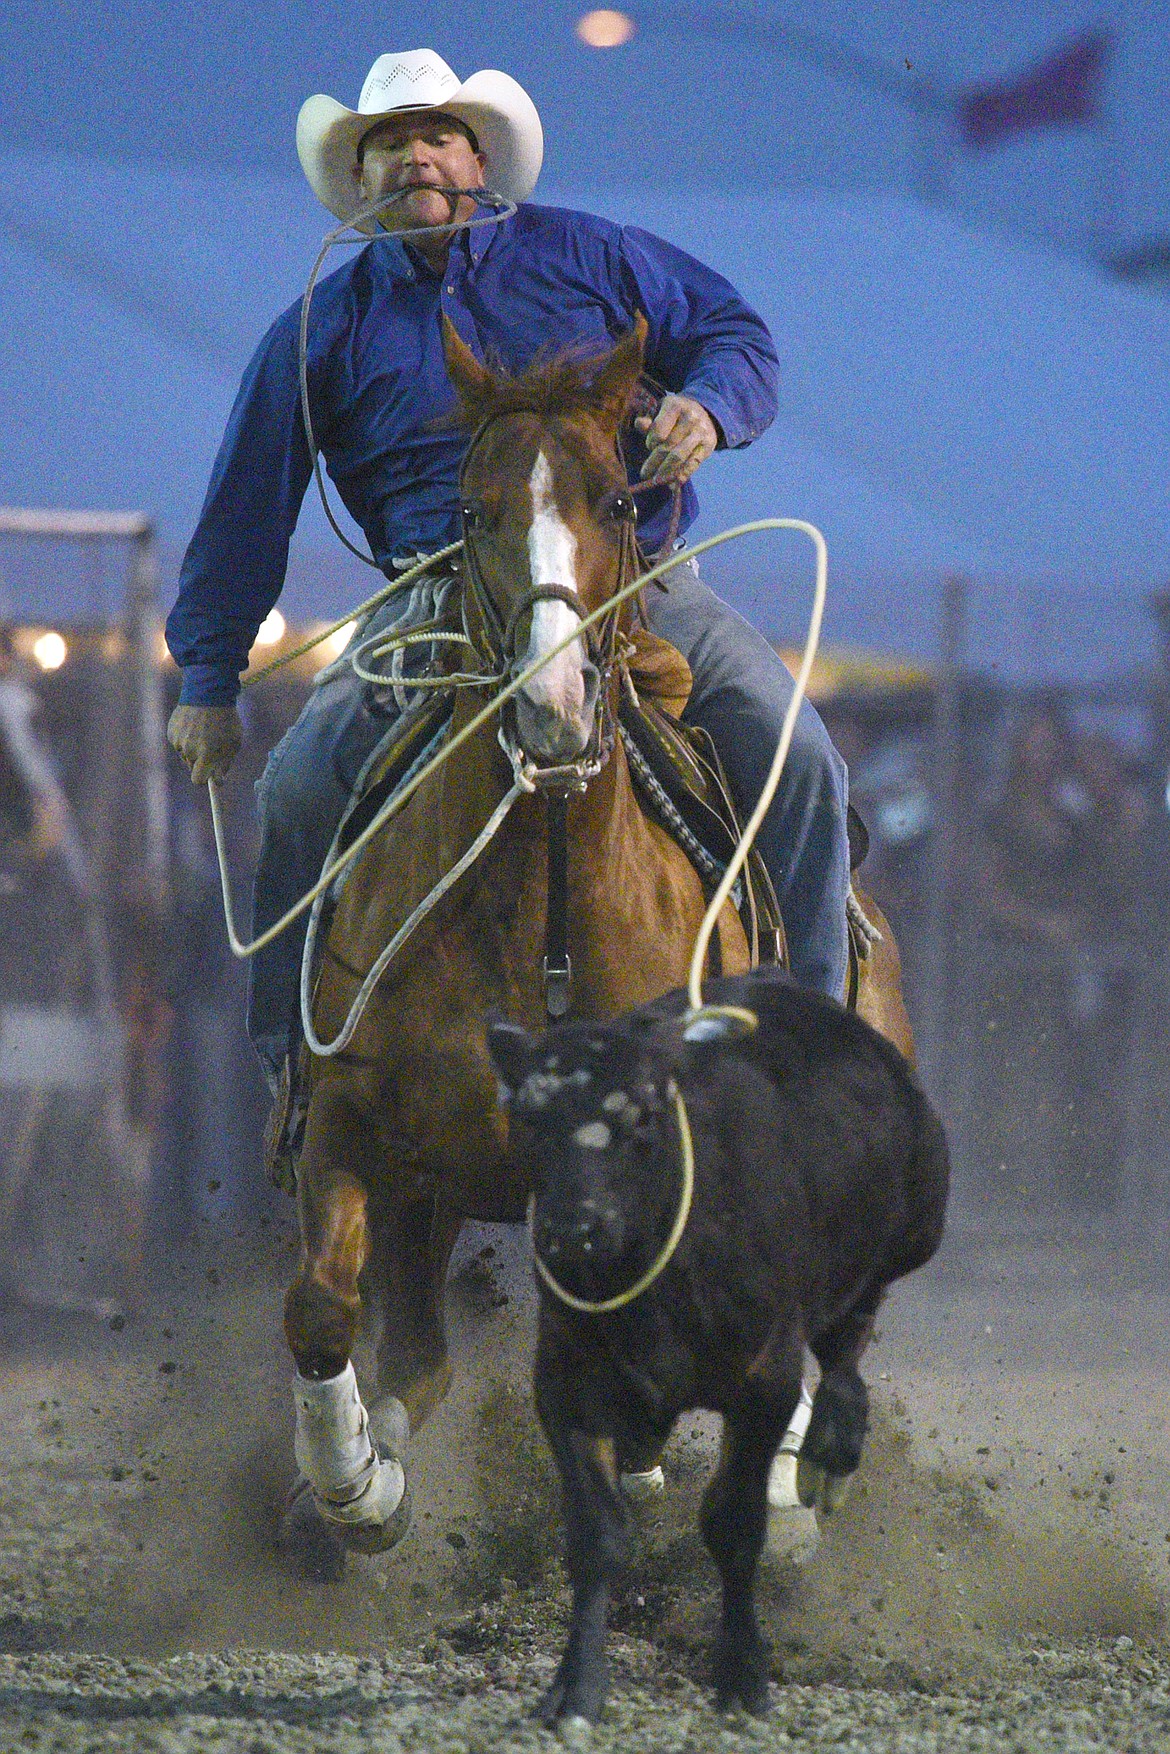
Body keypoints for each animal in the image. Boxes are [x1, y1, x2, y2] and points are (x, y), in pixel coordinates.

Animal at [278, 315, 912, 1550]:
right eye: (471, 508)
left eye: (619, 499)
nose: (552, 702)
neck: (542, 908)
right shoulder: (358, 1116)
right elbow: (326, 1305)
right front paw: (356, 1483)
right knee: (421, 1352)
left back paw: (780, 1495)